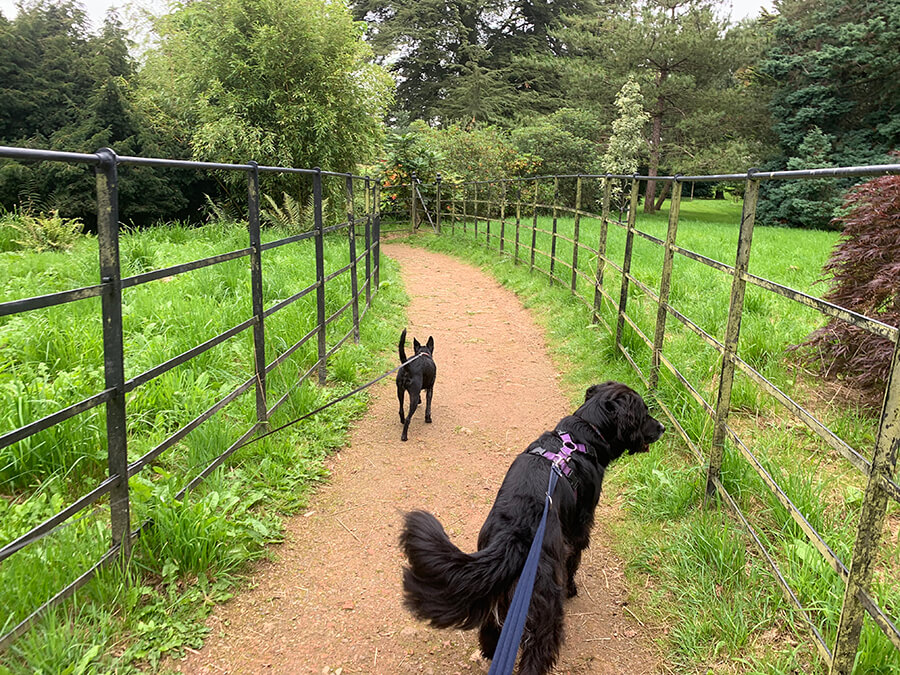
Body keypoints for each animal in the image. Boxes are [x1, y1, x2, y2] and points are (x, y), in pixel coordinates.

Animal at [400, 382, 660, 672]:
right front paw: (573, 588)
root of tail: (514, 536)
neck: (583, 434)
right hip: (544, 608)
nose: (662, 427)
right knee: (538, 651)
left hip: (499, 596)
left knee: (490, 630)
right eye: (644, 413)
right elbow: (574, 560)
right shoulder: (580, 525)